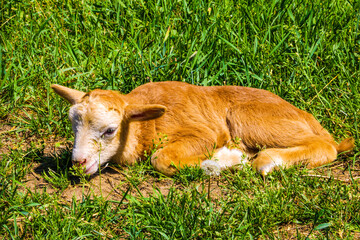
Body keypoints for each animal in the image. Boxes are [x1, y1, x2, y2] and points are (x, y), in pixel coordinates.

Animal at [51, 81, 354, 176]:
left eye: (110, 130)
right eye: (73, 127)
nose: (78, 163)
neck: (144, 127)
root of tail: (308, 117)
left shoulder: (202, 133)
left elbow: (160, 159)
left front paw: (225, 160)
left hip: (250, 118)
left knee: (326, 147)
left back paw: (266, 161)